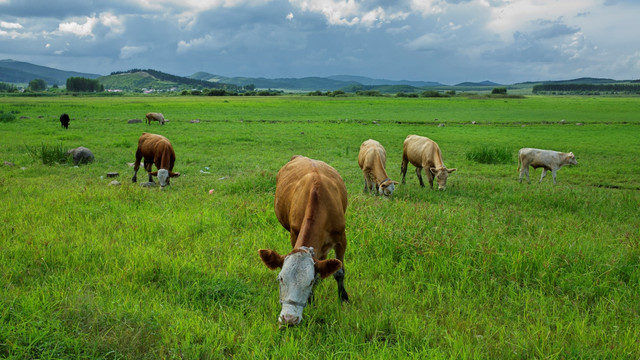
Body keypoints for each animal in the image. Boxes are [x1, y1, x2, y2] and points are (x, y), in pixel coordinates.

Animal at [258, 155, 350, 326]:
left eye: (309, 282)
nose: (289, 319)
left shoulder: (341, 238)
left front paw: (343, 299)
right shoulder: (294, 234)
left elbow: (339, 272)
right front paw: (312, 301)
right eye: (280, 279)